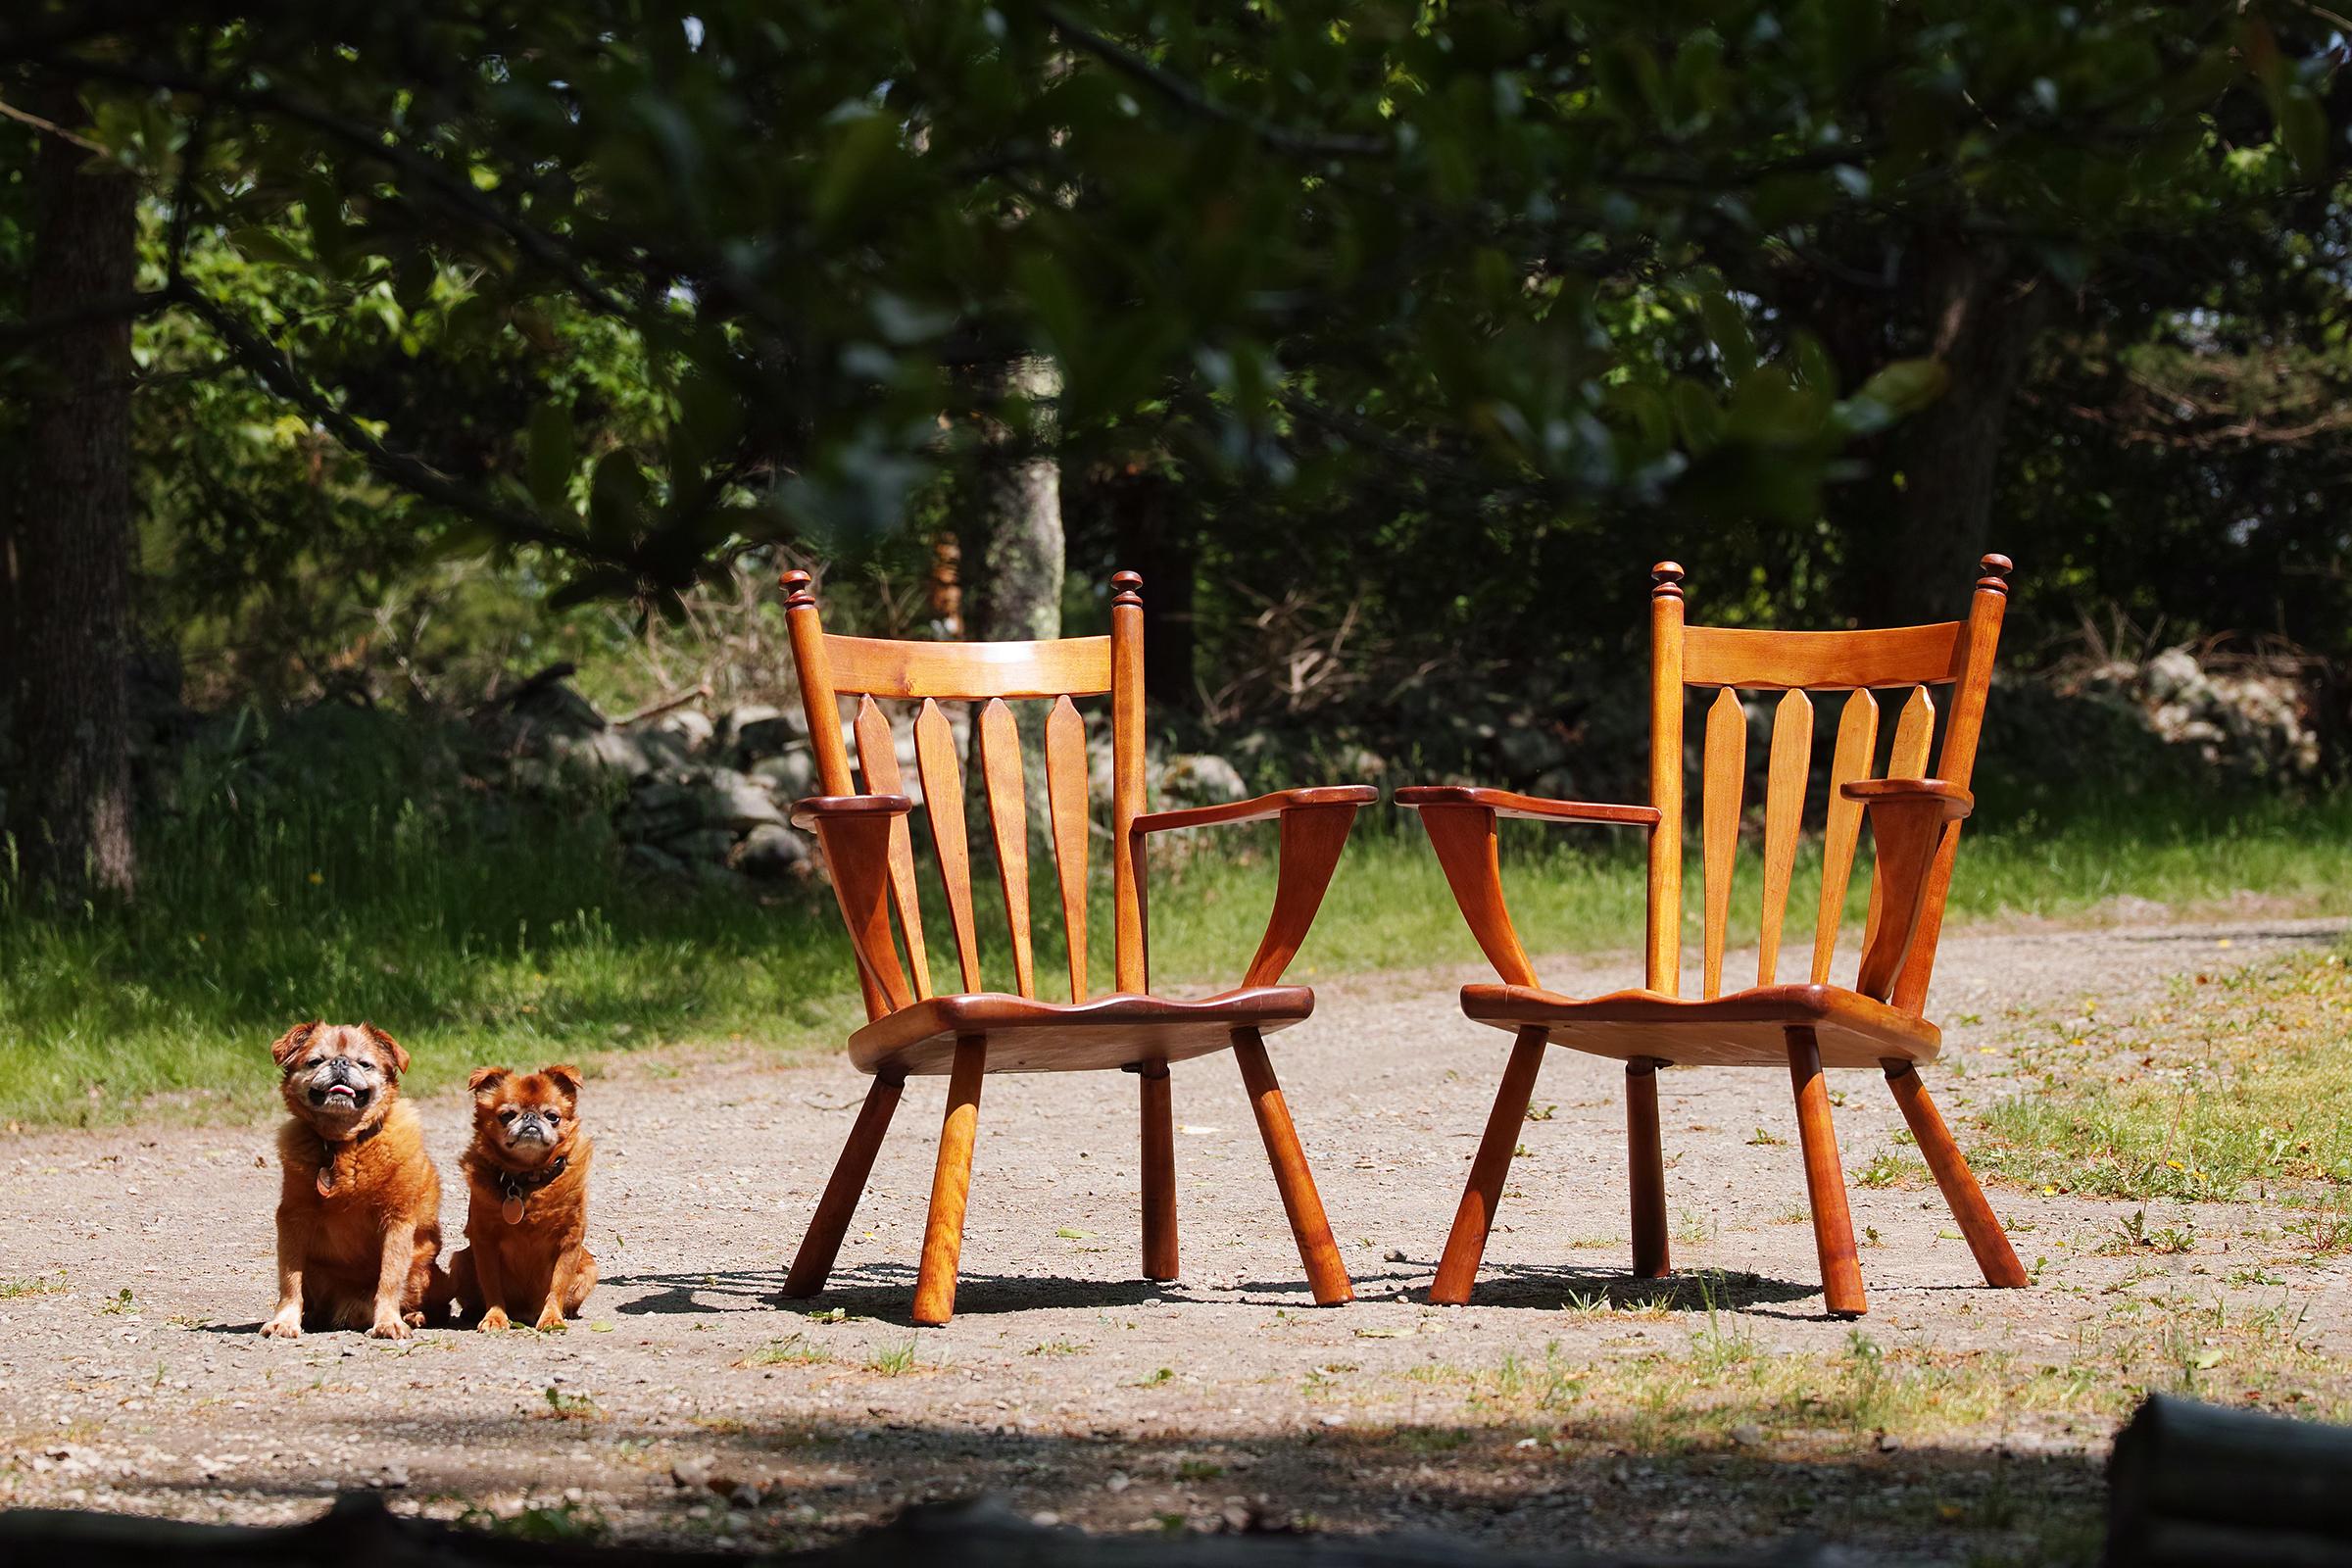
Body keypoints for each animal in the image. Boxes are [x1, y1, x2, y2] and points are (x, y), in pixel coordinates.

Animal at [266, 1024, 449, 1345]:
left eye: (365, 1064)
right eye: (315, 1061)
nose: (340, 1063)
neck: (344, 1145)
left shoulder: (397, 1221)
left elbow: (389, 1278)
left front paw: (388, 1321)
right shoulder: (292, 1219)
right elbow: (290, 1278)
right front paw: (285, 1320)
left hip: (427, 1275)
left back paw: (412, 1315)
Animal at [449, 1062, 597, 1335]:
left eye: (552, 1116)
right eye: (507, 1115)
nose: (530, 1118)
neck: (527, 1179)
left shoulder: (569, 1243)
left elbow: (558, 1284)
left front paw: (552, 1318)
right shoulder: (484, 1242)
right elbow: (492, 1286)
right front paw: (495, 1317)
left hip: (589, 1268)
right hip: (460, 1262)